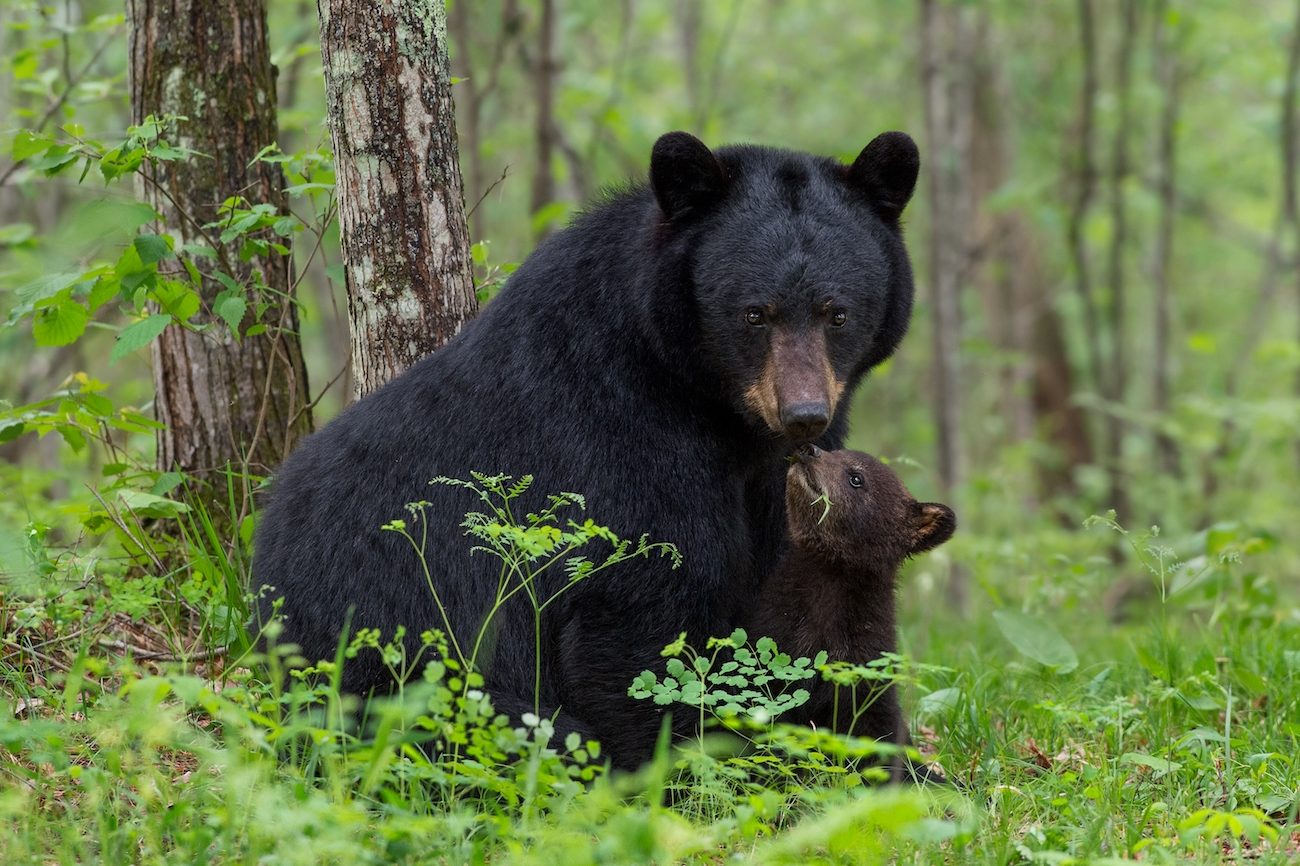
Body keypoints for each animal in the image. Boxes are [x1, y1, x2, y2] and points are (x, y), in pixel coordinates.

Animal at [253, 130, 925, 769]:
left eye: (837, 313)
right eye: (755, 314)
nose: (804, 415)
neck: (712, 405)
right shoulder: (619, 429)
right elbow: (640, 615)